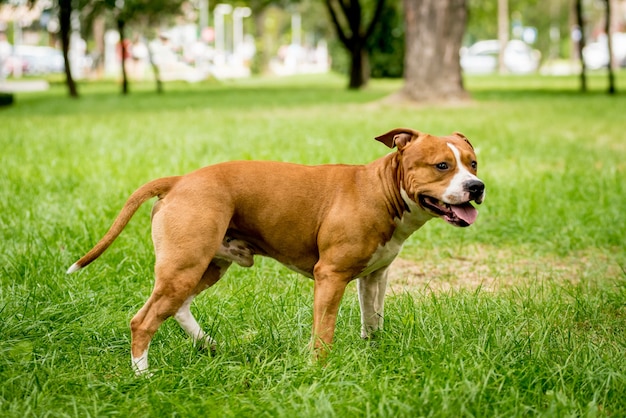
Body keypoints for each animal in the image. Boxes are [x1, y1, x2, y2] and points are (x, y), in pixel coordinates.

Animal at [66, 129, 482, 374]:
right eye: (441, 166)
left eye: (473, 163)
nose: (476, 186)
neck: (382, 189)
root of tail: (180, 180)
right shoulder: (330, 277)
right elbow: (324, 331)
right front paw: (319, 370)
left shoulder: (374, 276)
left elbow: (372, 319)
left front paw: (372, 354)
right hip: (185, 265)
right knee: (144, 320)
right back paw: (144, 374)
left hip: (205, 266)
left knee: (178, 307)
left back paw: (206, 344)